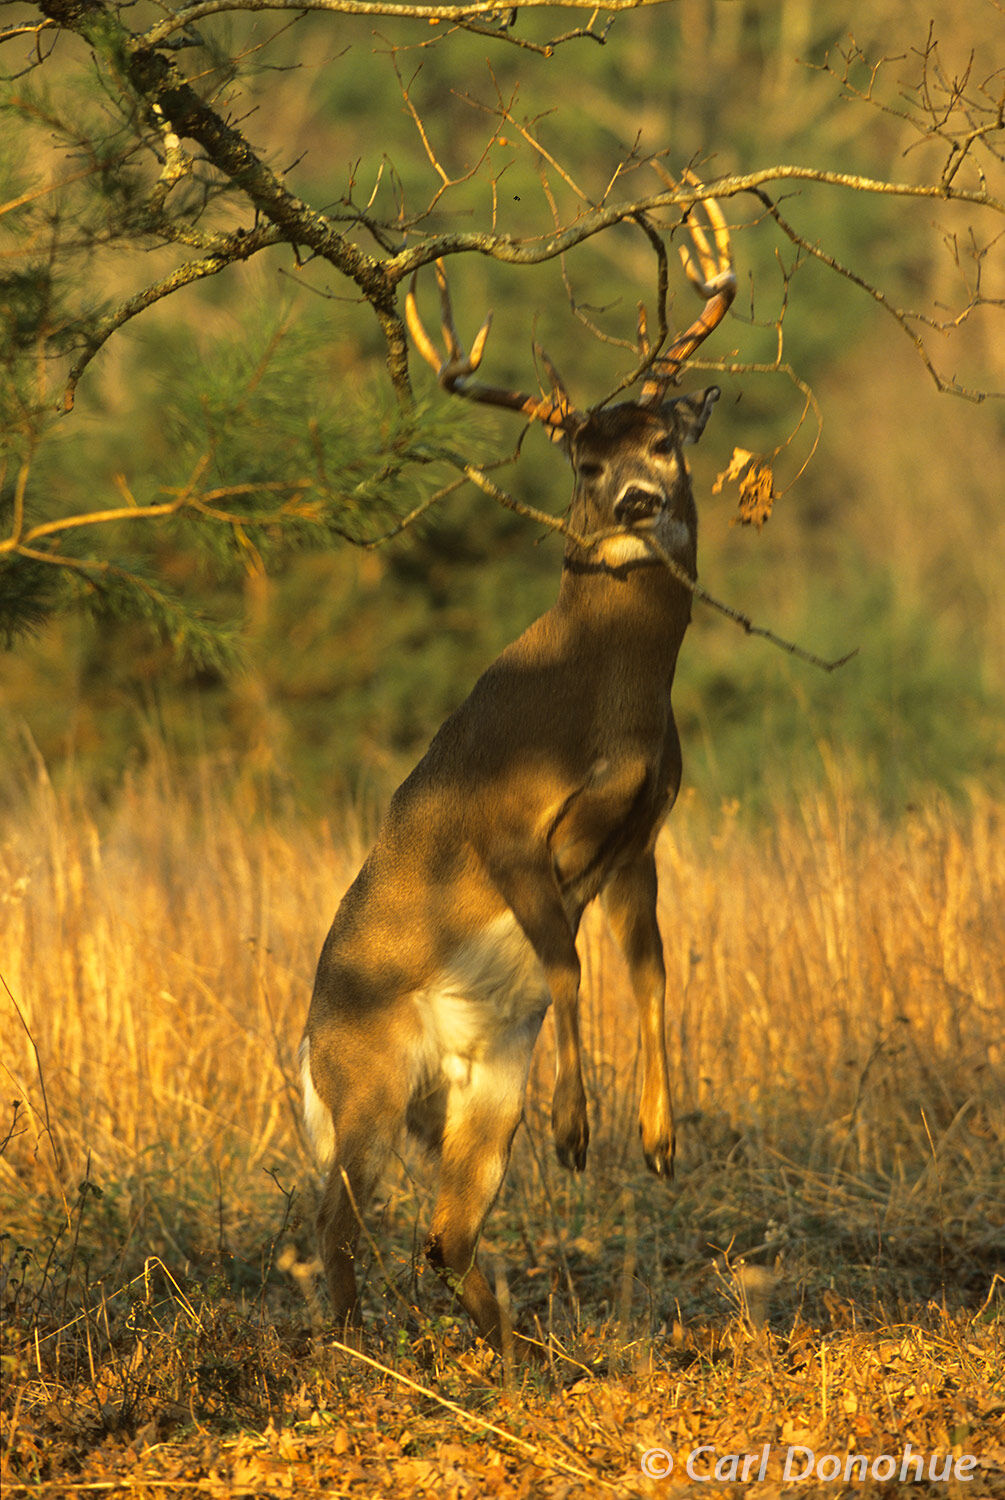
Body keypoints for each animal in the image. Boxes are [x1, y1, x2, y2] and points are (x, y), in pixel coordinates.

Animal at [301, 190, 741, 1362]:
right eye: (581, 463)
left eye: (663, 440)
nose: (633, 504)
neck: (598, 708)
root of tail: (304, 1039)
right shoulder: (508, 830)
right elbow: (572, 966)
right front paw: (581, 1131)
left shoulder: (642, 832)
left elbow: (647, 967)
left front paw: (660, 1139)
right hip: (361, 1080)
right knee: (337, 1220)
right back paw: (352, 1356)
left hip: (481, 1080)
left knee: (444, 1233)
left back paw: (515, 1362)